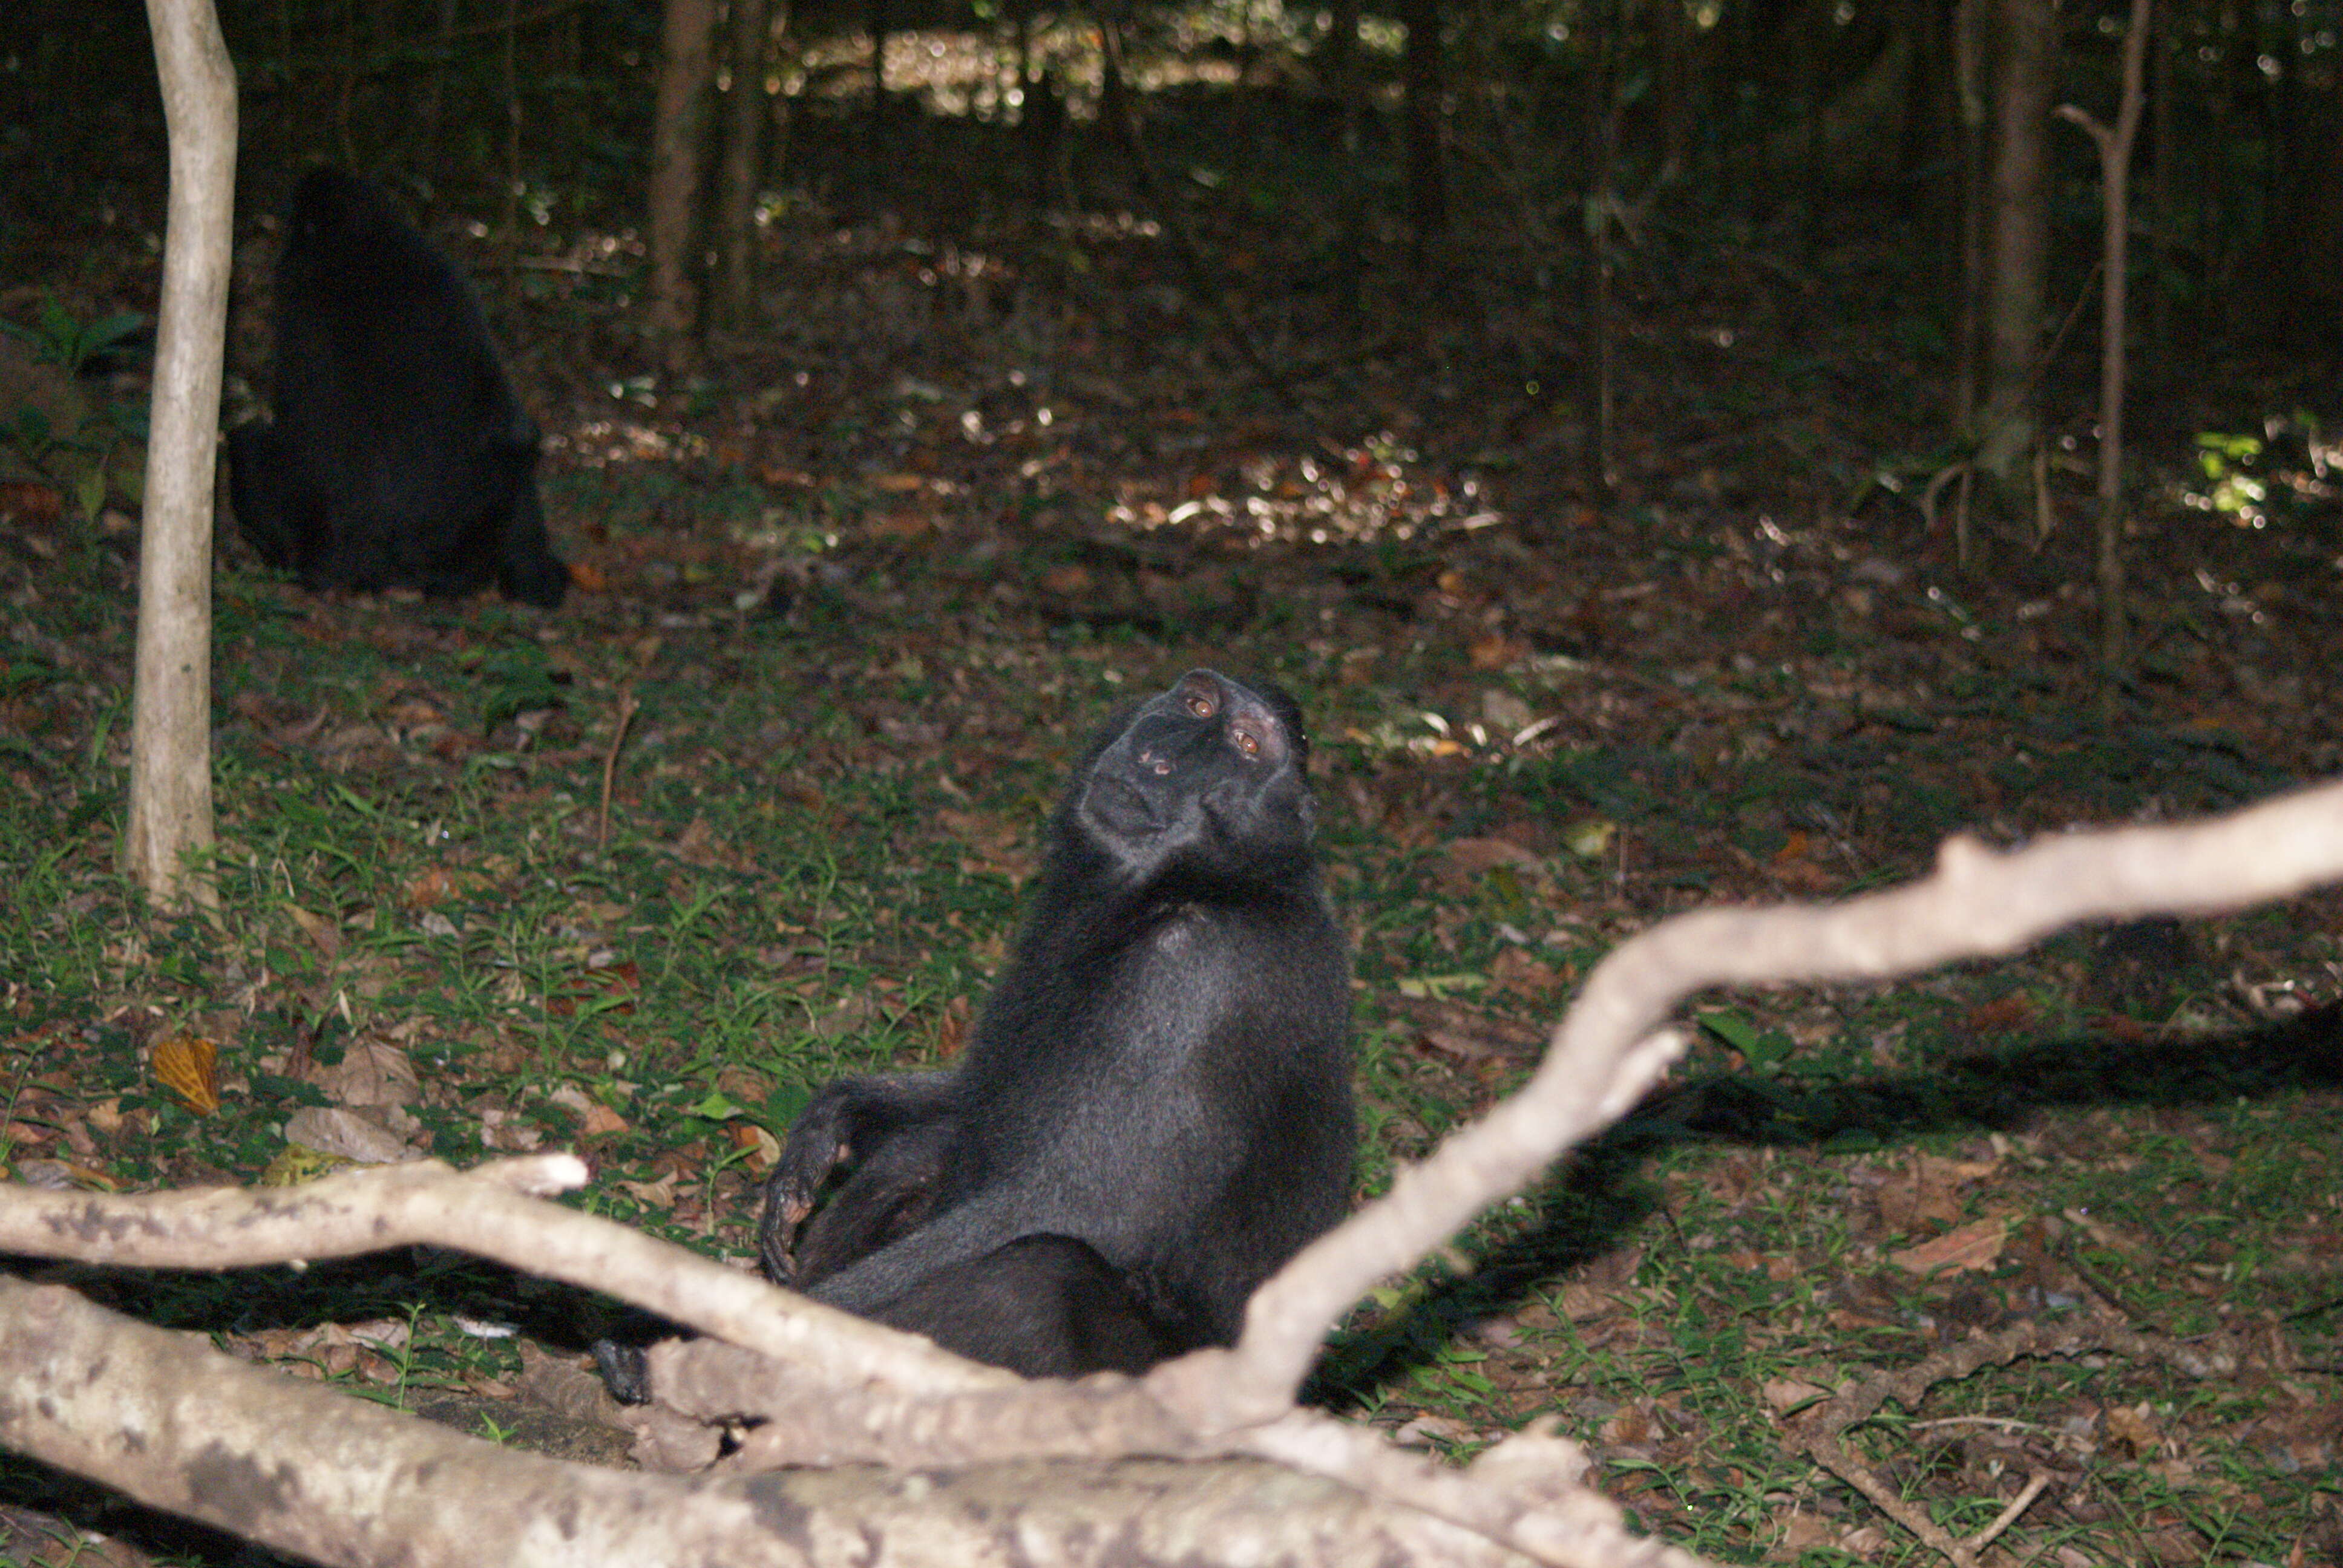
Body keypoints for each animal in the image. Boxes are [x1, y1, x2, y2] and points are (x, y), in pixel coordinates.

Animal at [224, 168, 571, 609]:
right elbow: (512, 425)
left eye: (295, 232)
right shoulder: (445, 278)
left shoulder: (300, 294)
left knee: (248, 440)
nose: (279, 253)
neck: (365, 241)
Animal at [764, 665, 1358, 1378]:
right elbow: (971, 1098)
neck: (1203, 882)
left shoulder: (1194, 975)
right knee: (923, 1150)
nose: (1157, 760)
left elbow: (1086, 1211)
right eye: (1196, 704)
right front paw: (830, 1121)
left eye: (1246, 745)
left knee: (1035, 1277)